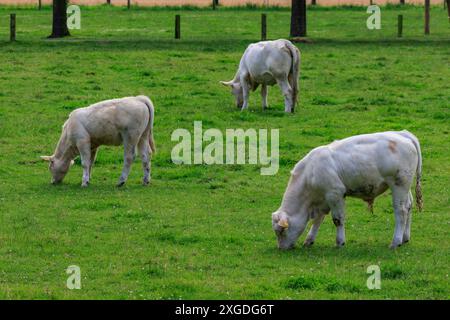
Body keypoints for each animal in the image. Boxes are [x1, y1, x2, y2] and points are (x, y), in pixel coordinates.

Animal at [272, 131, 424, 250]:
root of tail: (403, 134)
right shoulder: (324, 198)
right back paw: (405, 237)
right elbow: (318, 220)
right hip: (405, 187)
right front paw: (309, 240)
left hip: (398, 185)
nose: (281, 248)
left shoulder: (335, 193)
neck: (310, 172)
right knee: (409, 206)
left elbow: (337, 219)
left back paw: (396, 241)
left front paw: (340, 242)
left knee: (401, 211)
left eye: (281, 231)